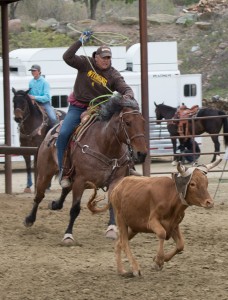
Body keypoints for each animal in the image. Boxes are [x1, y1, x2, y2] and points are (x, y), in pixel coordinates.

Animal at [23, 93, 148, 244]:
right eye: (128, 123)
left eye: (143, 122)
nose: (142, 154)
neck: (105, 145)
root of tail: (50, 132)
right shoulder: (80, 181)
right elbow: (75, 209)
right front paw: (68, 235)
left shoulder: (115, 180)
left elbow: (112, 205)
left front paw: (112, 229)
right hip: (44, 173)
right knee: (39, 195)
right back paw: (29, 219)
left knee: (65, 189)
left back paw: (55, 204)